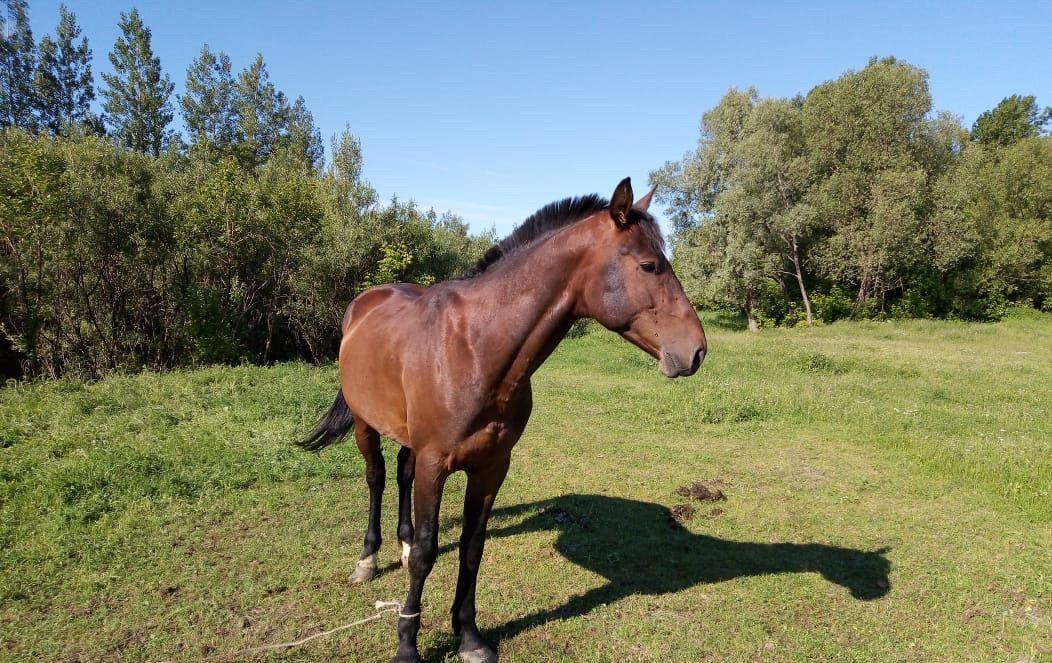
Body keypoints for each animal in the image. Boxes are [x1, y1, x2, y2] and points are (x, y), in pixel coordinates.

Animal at [296, 177, 706, 663]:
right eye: (649, 265)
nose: (696, 350)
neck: (474, 347)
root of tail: (364, 303)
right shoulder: (436, 464)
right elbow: (428, 553)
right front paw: (407, 646)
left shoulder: (492, 466)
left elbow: (472, 549)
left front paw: (469, 638)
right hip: (365, 424)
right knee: (376, 478)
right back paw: (368, 560)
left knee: (400, 474)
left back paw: (401, 544)